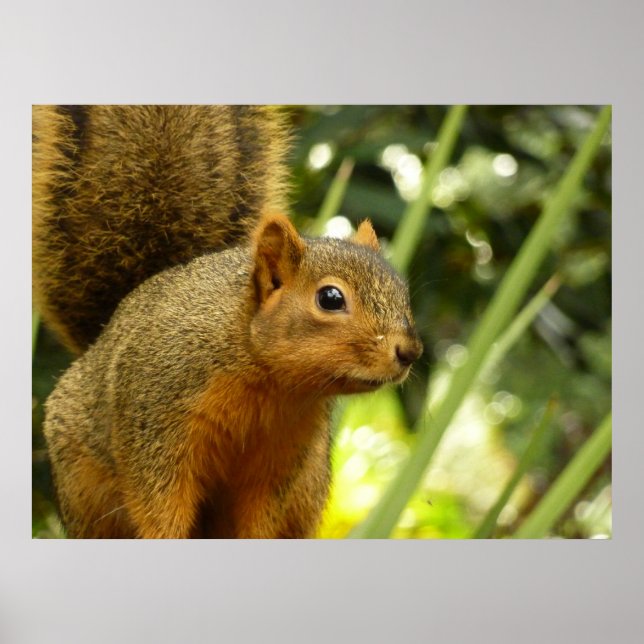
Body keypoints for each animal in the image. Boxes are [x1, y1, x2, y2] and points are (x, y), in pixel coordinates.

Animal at [33, 105, 423, 539]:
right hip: (83, 484)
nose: (410, 351)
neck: (267, 379)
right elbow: (158, 504)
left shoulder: (281, 460)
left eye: (402, 291)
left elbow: (260, 517)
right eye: (330, 298)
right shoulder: (156, 420)